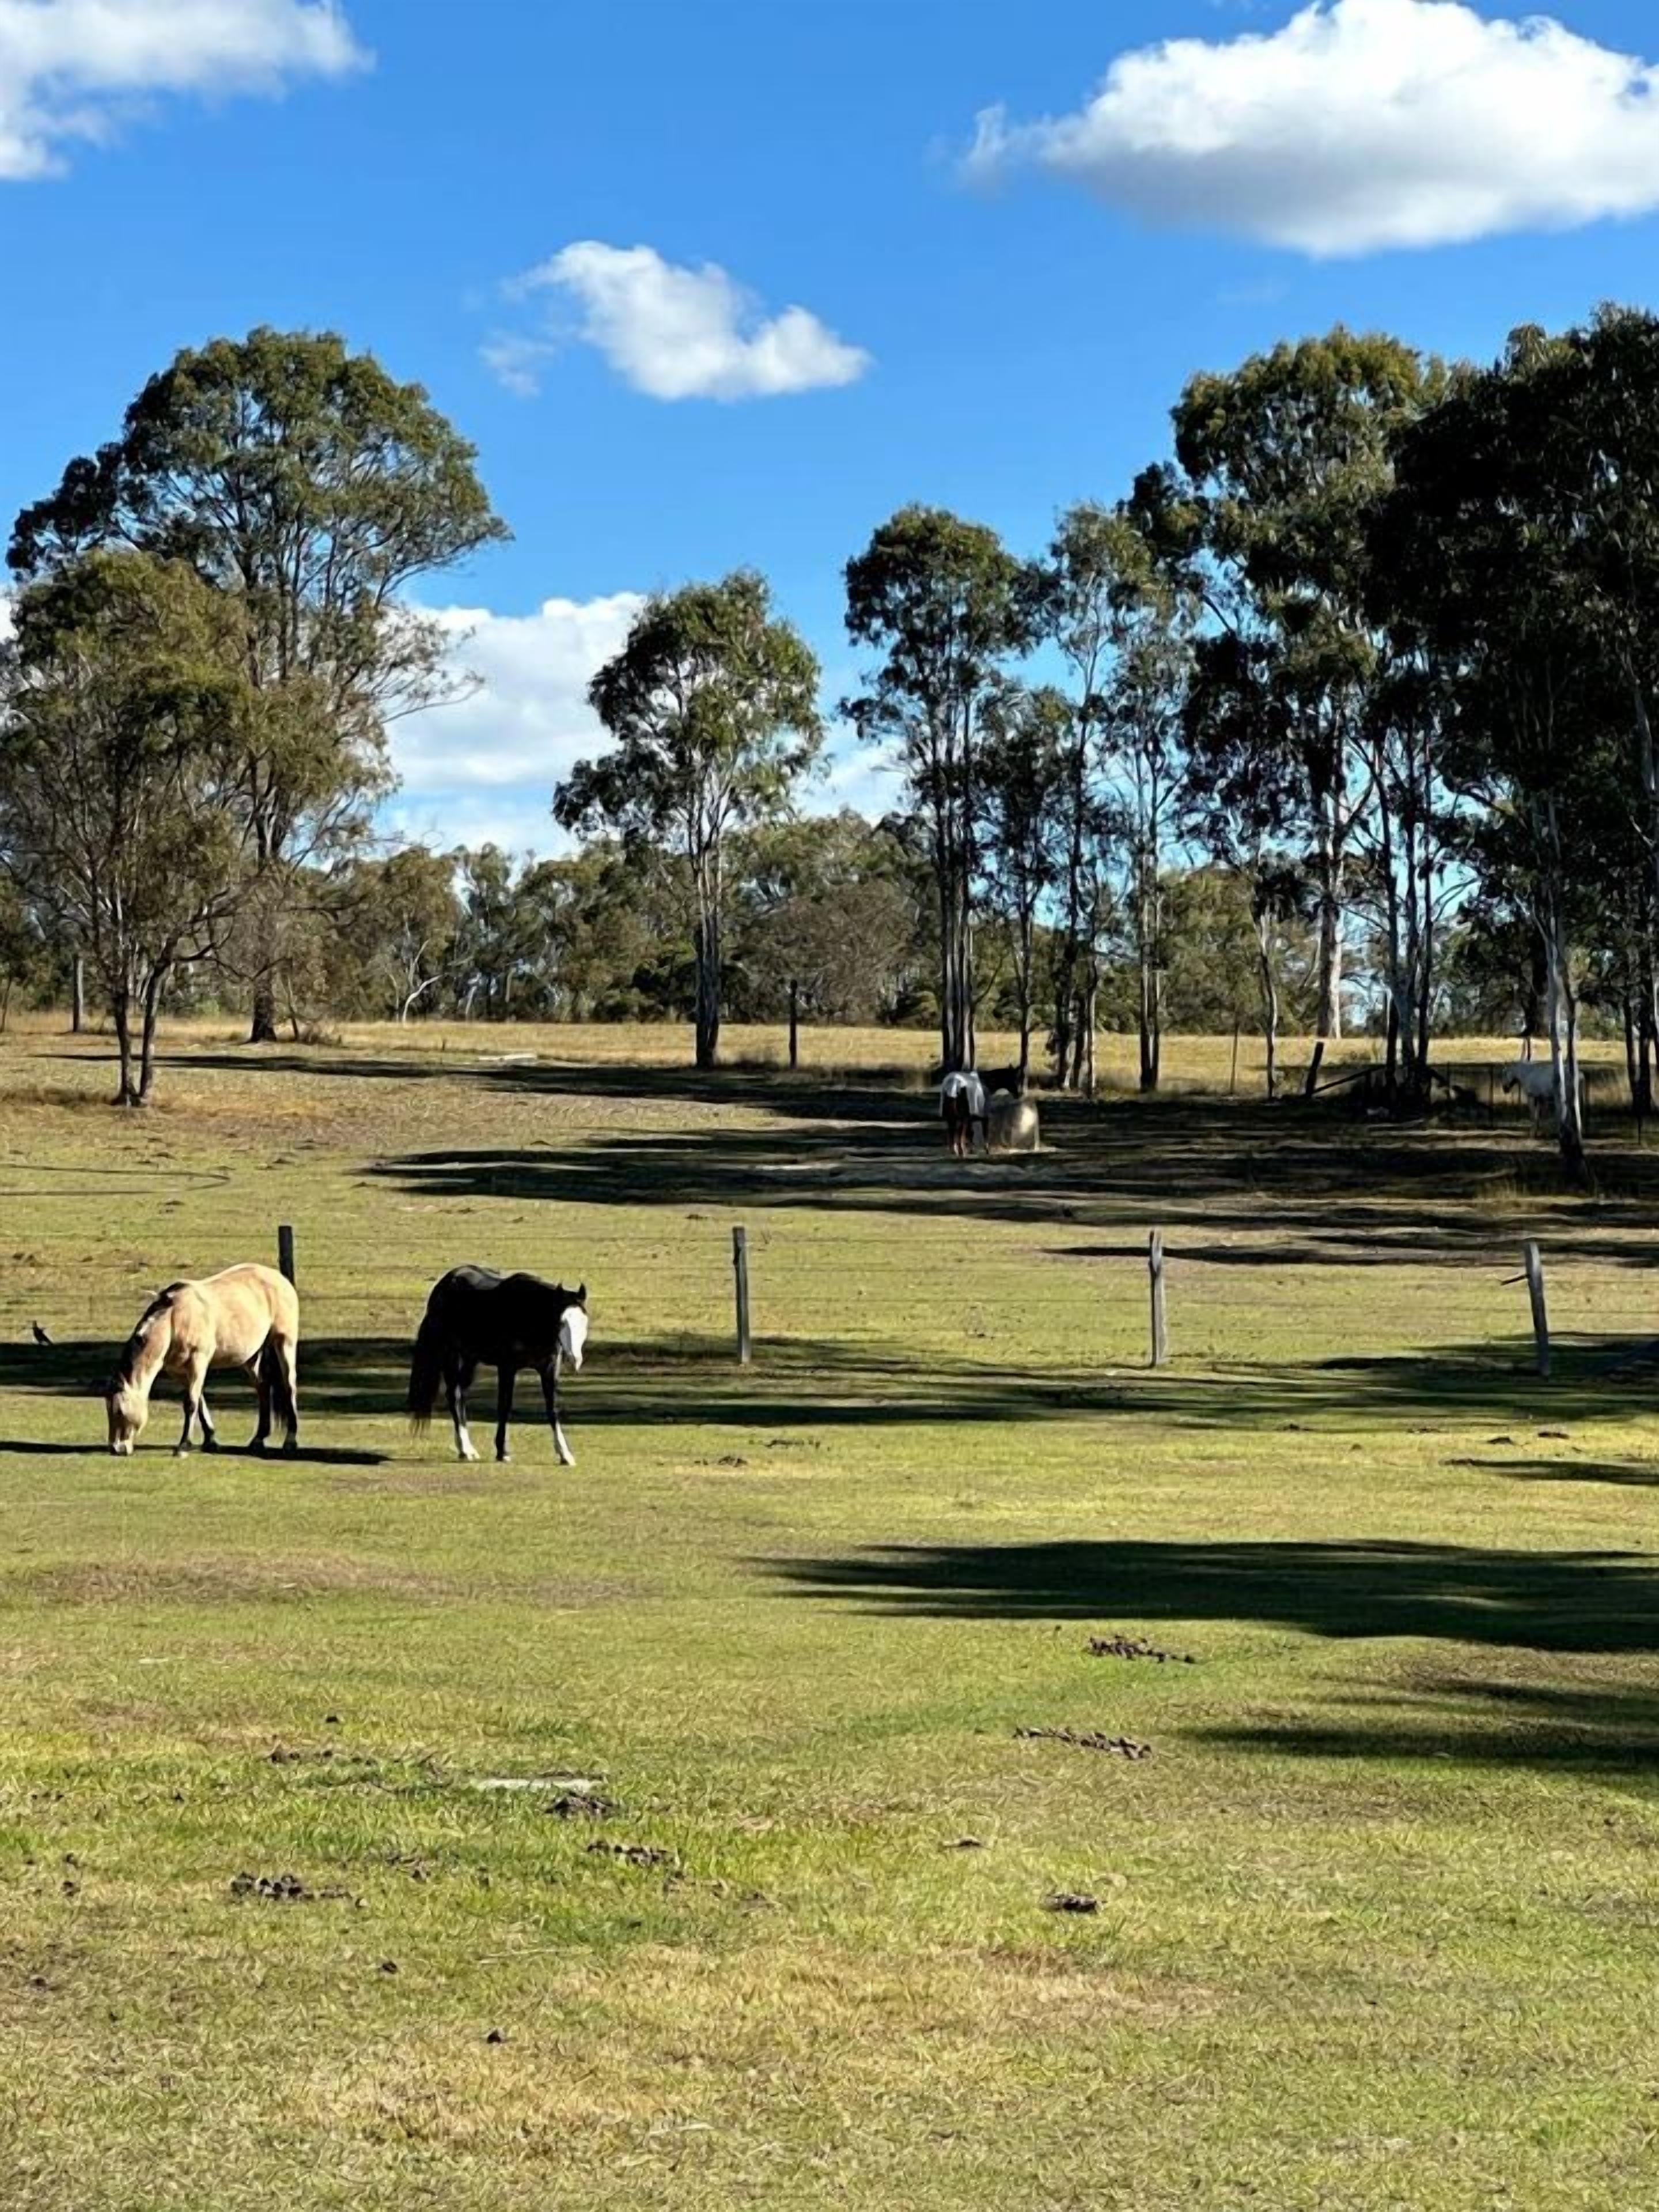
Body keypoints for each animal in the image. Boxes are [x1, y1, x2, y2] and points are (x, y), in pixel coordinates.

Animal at [105, 1263, 300, 1458]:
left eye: (120, 1411)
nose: (116, 1448)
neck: (174, 1319)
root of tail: (280, 1278)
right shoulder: (179, 1371)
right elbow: (199, 1402)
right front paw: (210, 1441)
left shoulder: (198, 1362)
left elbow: (191, 1403)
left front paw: (183, 1447)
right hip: (251, 1356)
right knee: (263, 1387)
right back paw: (258, 1439)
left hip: (284, 1343)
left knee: (289, 1386)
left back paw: (290, 1441)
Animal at [407, 1267, 588, 1466]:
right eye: (562, 1322)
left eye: (584, 1321)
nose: (574, 1360)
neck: (529, 1313)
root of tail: (445, 1284)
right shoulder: (507, 1368)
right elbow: (504, 1406)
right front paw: (503, 1452)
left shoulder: (549, 1368)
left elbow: (552, 1408)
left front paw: (565, 1454)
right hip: (453, 1356)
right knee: (454, 1396)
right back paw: (466, 1449)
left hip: (470, 1359)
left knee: (460, 1396)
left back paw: (465, 1448)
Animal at [939, 1070, 989, 1159]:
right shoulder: (981, 1116)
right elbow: (979, 1131)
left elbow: (970, 1132)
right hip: (963, 1116)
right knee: (961, 1133)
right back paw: (962, 1152)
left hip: (951, 1116)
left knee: (952, 1131)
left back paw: (954, 1151)